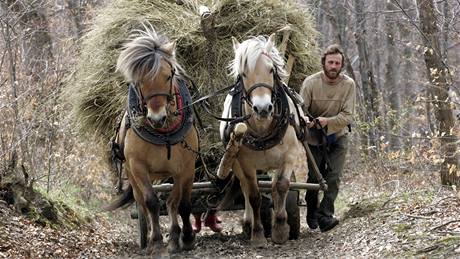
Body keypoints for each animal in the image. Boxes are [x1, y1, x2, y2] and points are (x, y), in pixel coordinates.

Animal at [106, 24, 199, 256]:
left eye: (168, 76)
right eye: (139, 81)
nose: (157, 118)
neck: (163, 133)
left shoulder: (186, 167)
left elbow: (182, 204)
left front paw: (186, 238)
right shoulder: (138, 167)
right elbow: (152, 202)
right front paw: (156, 242)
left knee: (173, 202)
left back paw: (175, 237)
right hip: (132, 174)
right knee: (142, 204)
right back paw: (147, 237)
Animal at [218, 34, 308, 246]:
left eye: (271, 69)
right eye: (243, 74)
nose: (263, 108)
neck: (262, 128)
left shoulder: (289, 156)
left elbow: (281, 187)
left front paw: (280, 229)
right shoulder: (246, 164)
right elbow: (254, 196)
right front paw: (258, 234)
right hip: (235, 162)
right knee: (244, 187)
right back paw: (248, 223)